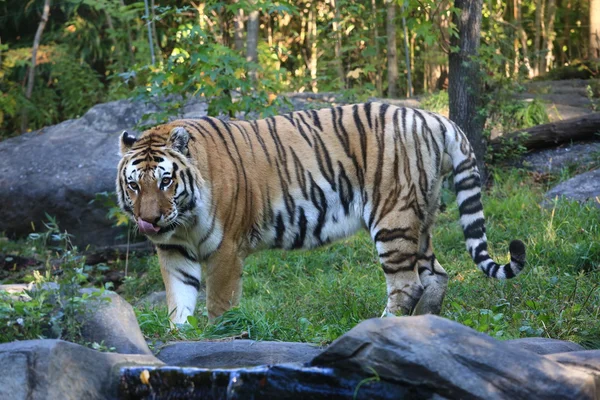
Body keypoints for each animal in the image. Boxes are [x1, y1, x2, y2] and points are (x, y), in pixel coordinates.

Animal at [116, 101, 524, 324]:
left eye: (166, 181)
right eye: (135, 185)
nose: (148, 221)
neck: (182, 221)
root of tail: (436, 119)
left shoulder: (225, 249)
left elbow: (218, 303)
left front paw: (218, 335)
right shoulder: (173, 252)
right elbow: (178, 303)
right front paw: (182, 337)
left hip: (393, 217)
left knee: (408, 284)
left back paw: (380, 327)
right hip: (420, 218)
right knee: (436, 275)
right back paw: (421, 326)